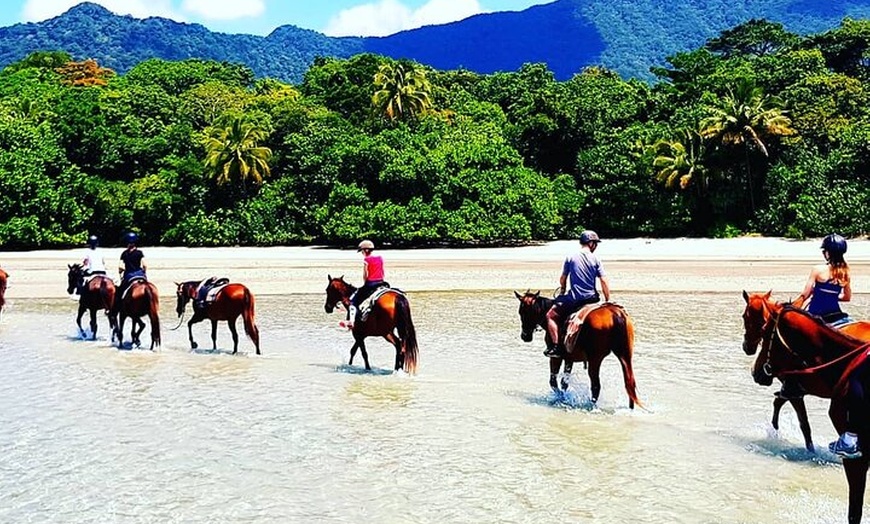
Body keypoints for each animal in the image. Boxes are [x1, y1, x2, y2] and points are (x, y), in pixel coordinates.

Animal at [516, 290, 644, 410]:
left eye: (521, 312)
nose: (524, 336)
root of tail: (615, 313)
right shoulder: (569, 358)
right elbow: (564, 382)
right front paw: (563, 397)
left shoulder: (556, 358)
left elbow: (553, 381)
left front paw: (559, 397)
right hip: (625, 356)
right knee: (630, 382)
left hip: (595, 359)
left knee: (596, 386)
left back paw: (591, 406)